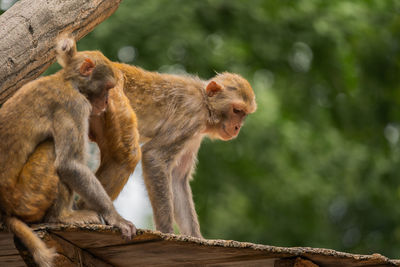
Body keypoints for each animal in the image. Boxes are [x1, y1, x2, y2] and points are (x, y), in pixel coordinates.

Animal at [0, 37, 136, 267]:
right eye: (108, 87)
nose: (106, 102)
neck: (68, 81)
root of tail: (5, 212)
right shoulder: (74, 105)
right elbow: (69, 164)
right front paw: (115, 217)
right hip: (27, 199)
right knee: (52, 150)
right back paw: (61, 217)